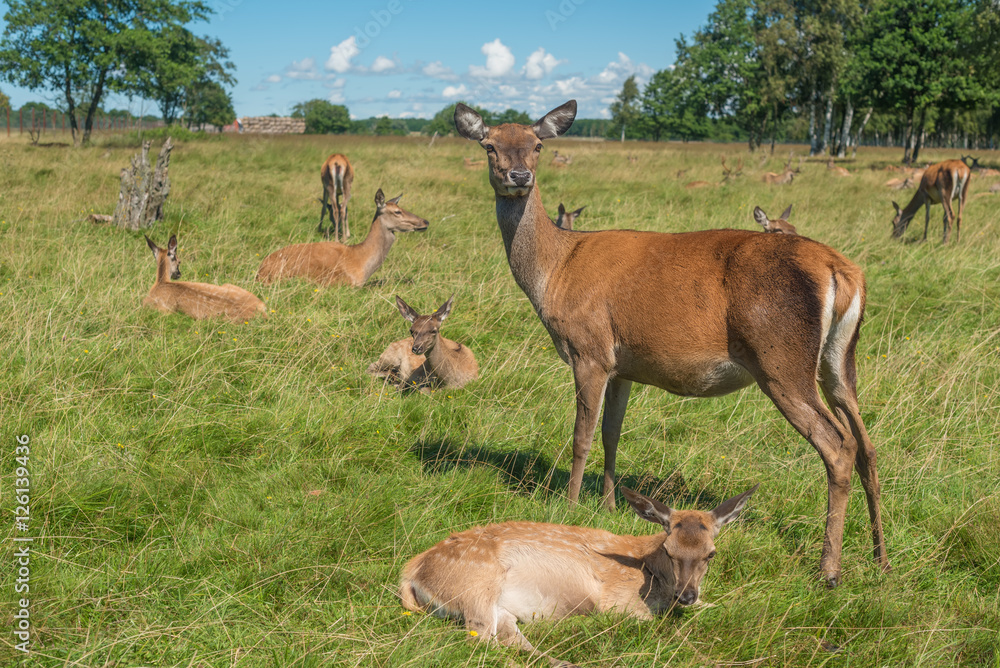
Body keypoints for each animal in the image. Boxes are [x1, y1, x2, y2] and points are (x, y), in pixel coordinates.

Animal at [400, 483, 759, 667]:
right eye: (669, 550)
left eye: (711, 553)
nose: (686, 595)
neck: (650, 571)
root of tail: (411, 572)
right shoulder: (619, 603)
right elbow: (657, 622)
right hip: (476, 586)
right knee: (480, 642)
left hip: (495, 606)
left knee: (510, 638)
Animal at [454, 100, 888, 587]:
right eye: (490, 145)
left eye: (537, 145)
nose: (519, 176)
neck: (555, 272)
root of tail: (843, 270)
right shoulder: (622, 365)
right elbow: (612, 433)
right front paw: (609, 505)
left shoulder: (589, 349)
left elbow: (582, 434)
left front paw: (567, 505)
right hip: (839, 361)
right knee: (867, 444)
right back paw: (880, 557)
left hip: (782, 360)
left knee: (839, 445)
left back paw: (828, 569)